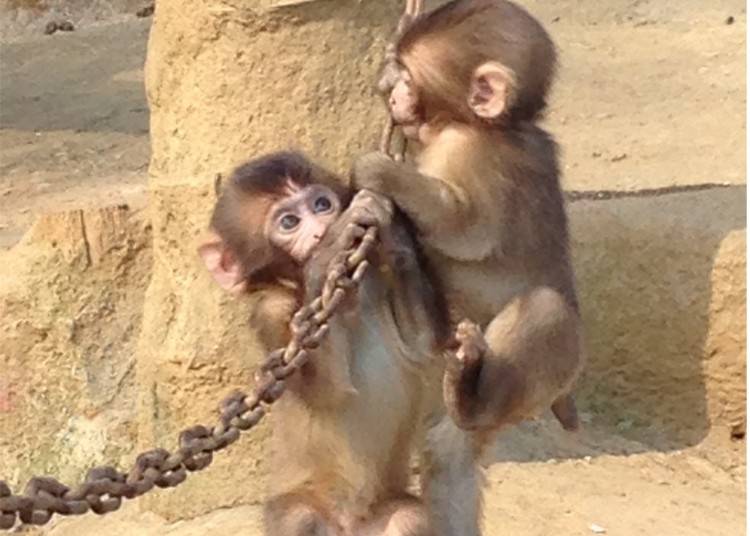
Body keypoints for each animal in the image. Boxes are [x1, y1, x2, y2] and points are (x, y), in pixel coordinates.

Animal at [356, 0, 584, 436]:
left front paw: (381, 172)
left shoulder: (472, 153)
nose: (394, 95)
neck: (485, 124)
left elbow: (465, 226)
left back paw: (469, 401)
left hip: (553, 366)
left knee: (544, 308)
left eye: (411, 81)